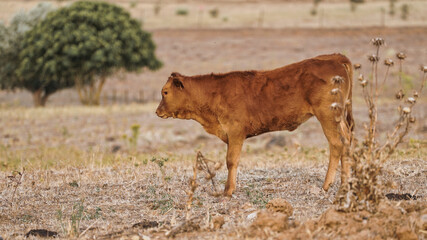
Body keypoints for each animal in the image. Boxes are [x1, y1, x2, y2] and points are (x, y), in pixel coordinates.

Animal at [156, 54, 354, 197]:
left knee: (337, 144)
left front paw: (228, 191)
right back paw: (345, 184)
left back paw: (327, 186)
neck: (214, 93)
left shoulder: (235, 133)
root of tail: (334, 58)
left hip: (327, 117)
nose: (157, 111)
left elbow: (231, 160)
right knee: (346, 142)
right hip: (338, 119)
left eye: (165, 92)